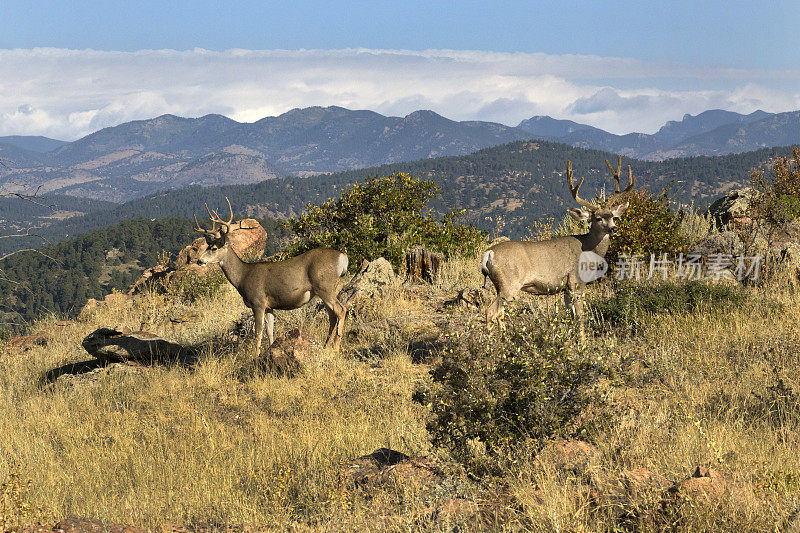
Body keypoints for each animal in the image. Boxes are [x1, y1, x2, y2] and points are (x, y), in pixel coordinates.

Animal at [194, 197, 346, 352]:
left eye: (213, 248)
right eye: (206, 246)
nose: (199, 260)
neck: (243, 277)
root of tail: (343, 257)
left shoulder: (258, 301)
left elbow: (258, 332)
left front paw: (255, 354)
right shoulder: (269, 306)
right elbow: (270, 331)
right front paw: (271, 349)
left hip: (324, 286)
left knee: (341, 310)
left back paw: (336, 347)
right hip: (326, 289)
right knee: (332, 315)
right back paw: (326, 346)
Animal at [482, 157, 636, 332]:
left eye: (613, 216)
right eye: (597, 218)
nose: (613, 228)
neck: (588, 250)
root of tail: (488, 254)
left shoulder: (566, 288)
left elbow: (571, 316)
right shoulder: (576, 282)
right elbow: (580, 317)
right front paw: (582, 339)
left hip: (500, 285)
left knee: (499, 313)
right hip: (509, 283)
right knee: (491, 311)